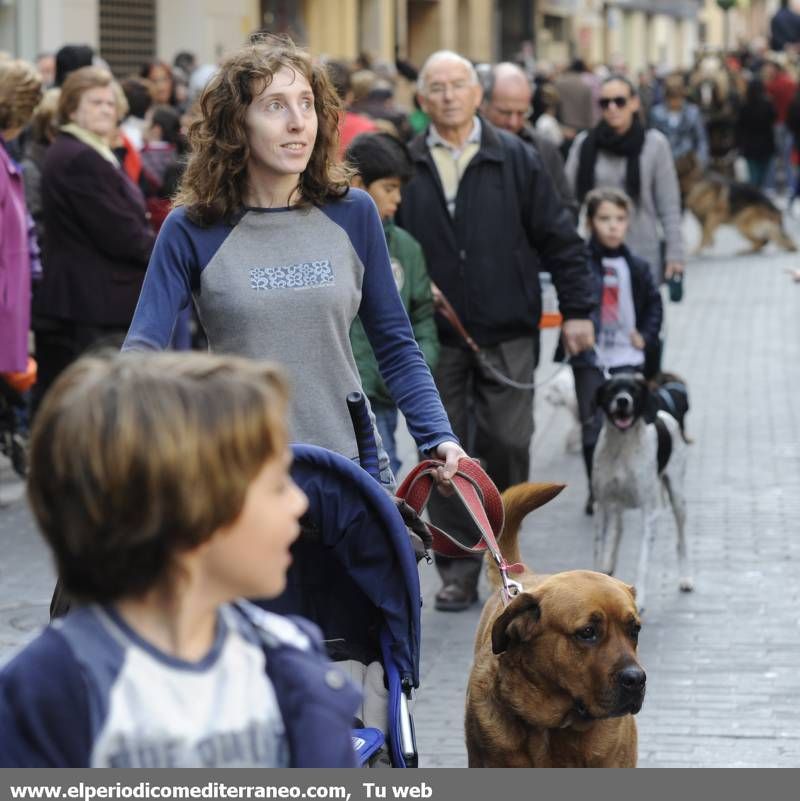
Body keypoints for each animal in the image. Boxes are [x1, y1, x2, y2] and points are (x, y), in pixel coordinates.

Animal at [592, 372, 692, 608]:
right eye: (611, 389)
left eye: (634, 390)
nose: (622, 400)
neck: (621, 446)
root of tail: (664, 414)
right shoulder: (601, 505)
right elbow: (599, 549)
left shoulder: (649, 513)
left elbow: (643, 561)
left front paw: (640, 598)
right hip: (615, 505)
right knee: (618, 530)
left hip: (678, 499)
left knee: (681, 540)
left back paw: (685, 577)